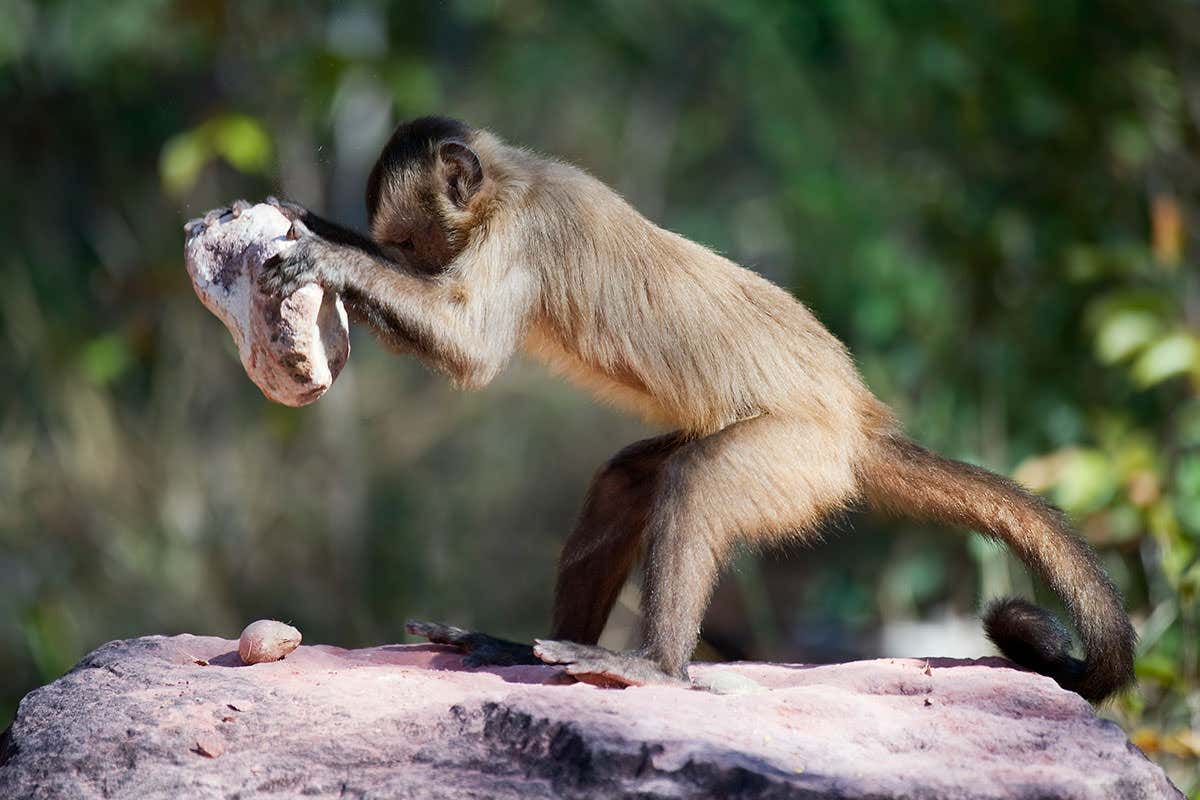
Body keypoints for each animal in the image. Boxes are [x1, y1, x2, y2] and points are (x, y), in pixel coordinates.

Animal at [249, 115, 1135, 701]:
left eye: (406, 248)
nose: (392, 257)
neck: (513, 183)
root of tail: (859, 421)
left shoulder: (524, 233)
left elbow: (472, 352)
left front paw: (330, 258)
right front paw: (306, 225)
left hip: (800, 454)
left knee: (700, 482)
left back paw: (657, 668)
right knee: (628, 478)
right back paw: (524, 649)